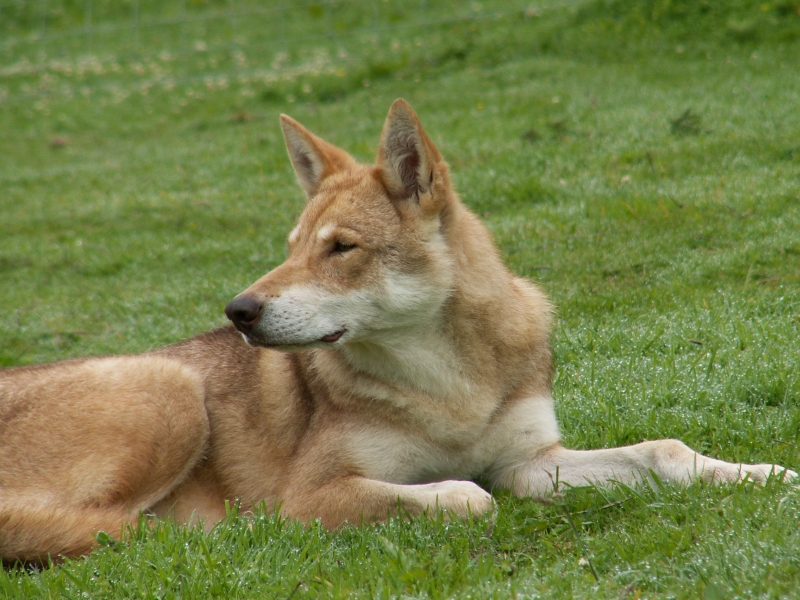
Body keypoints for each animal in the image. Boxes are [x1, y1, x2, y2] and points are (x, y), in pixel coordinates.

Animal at [0, 99, 792, 564]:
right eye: (292, 247)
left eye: (339, 248)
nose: (239, 311)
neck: (448, 384)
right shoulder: (320, 493)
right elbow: (467, 497)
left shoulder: (529, 462)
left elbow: (666, 450)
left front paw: (761, 475)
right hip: (170, 389)